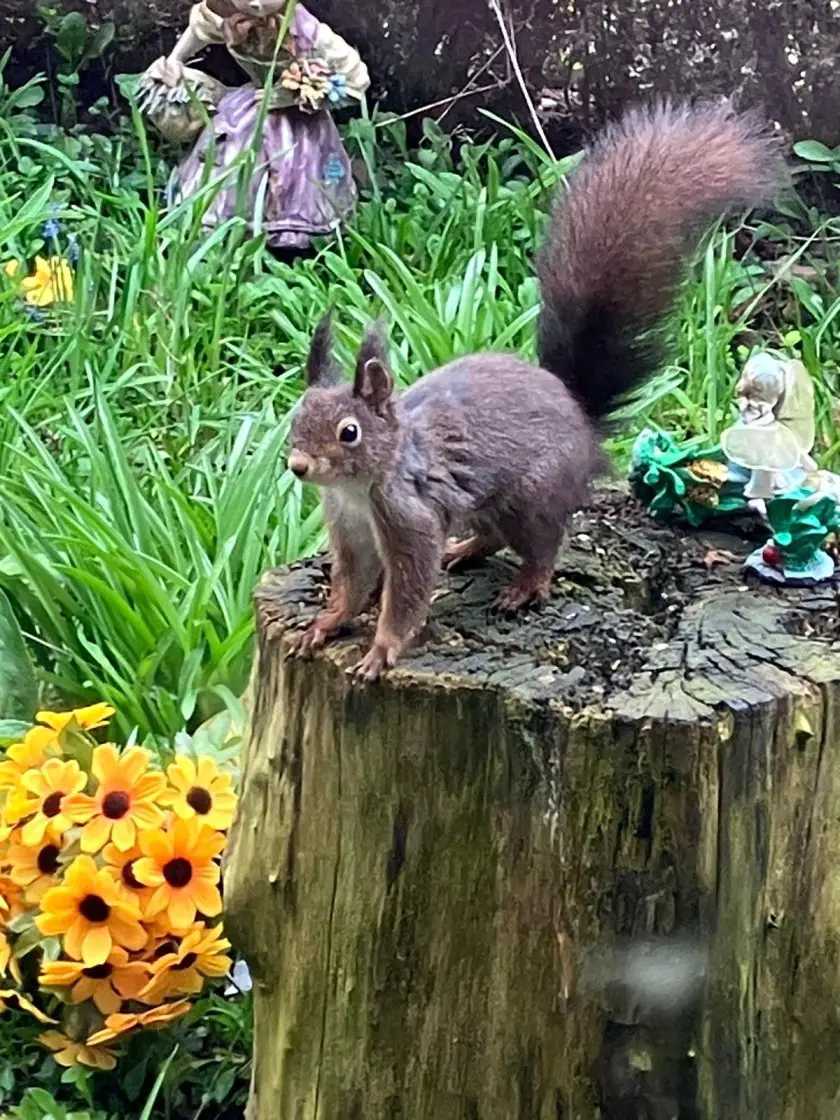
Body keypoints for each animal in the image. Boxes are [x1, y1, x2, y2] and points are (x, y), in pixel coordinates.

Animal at [286, 100, 788, 676]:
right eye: (295, 418)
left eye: (349, 432)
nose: (298, 466)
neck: (359, 485)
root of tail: (580, 417)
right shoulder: (349, 532)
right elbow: (350, 586)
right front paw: (325, 624)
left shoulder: (409, 518)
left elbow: (407, 591)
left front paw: (381, 650)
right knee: (493, 534)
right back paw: (465, 549)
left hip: (533, 496)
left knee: (545, 542)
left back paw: (526, 585)